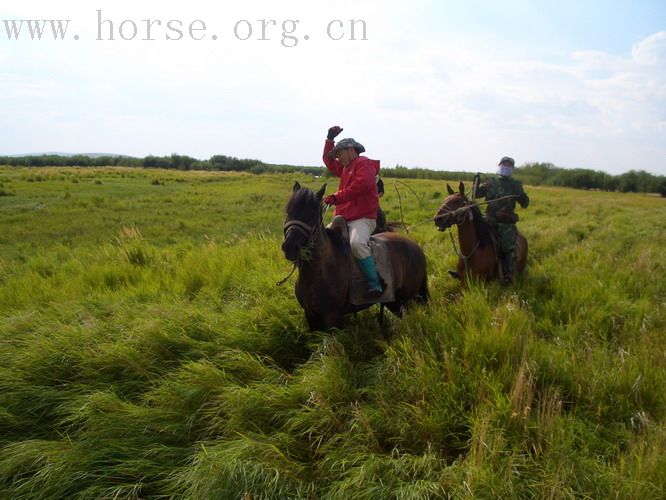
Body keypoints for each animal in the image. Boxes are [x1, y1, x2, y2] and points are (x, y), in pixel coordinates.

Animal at [280, 182, 426, 330]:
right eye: (288, 211)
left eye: (312, 214)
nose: (290, 247)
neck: (320, 271)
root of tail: (416, 247)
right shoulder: (310, 316)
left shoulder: (332, 319)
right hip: (393, 302)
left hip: (405, 303)